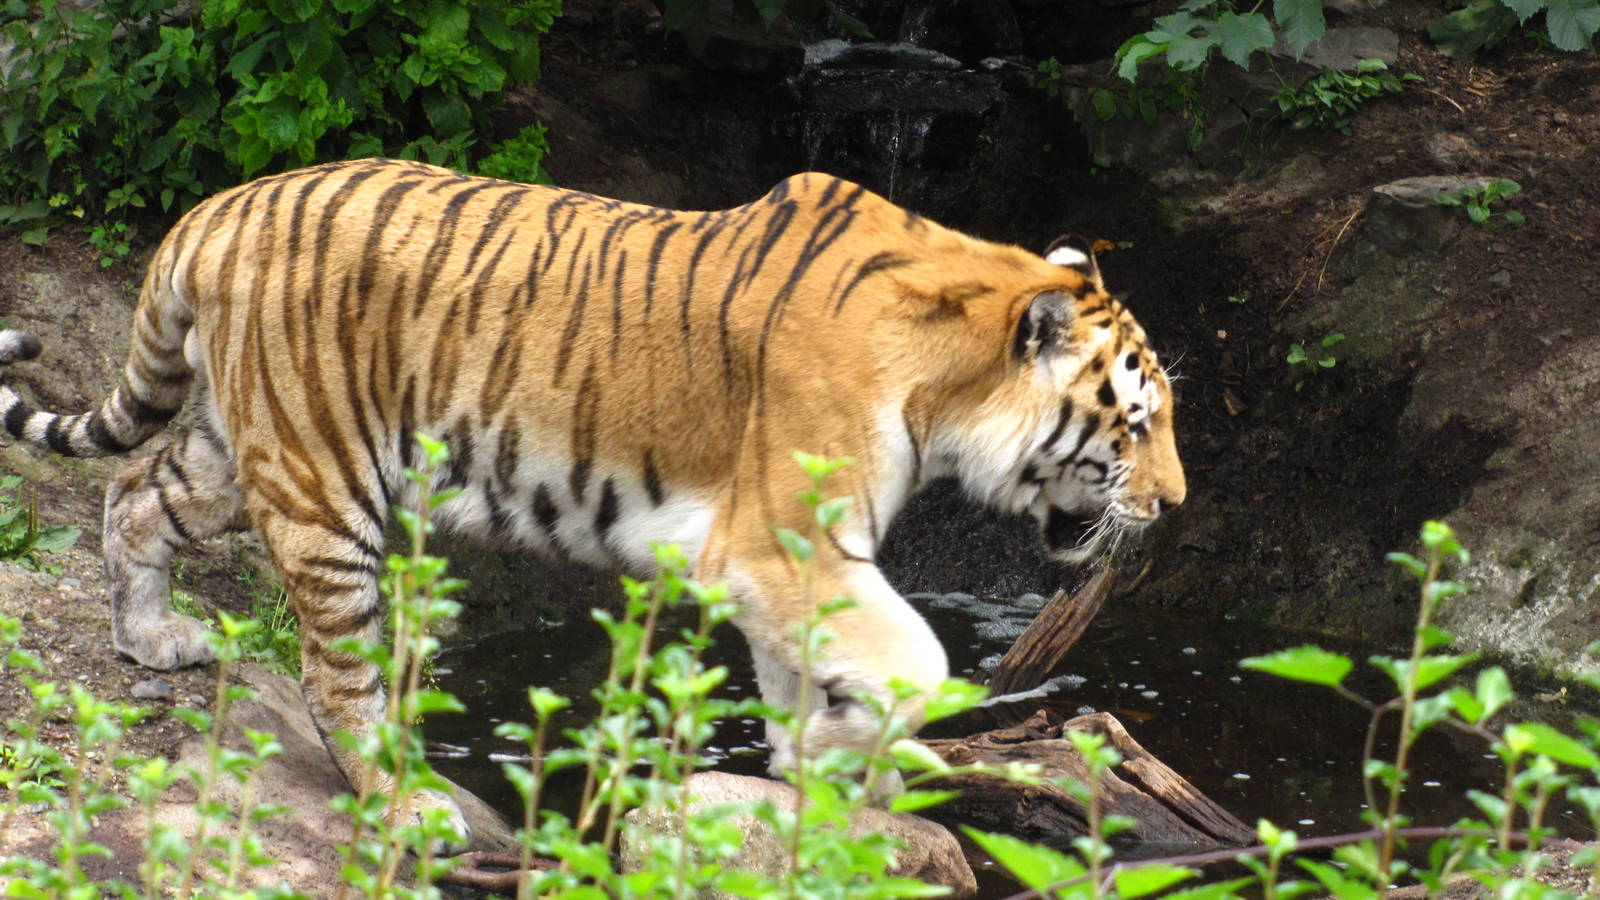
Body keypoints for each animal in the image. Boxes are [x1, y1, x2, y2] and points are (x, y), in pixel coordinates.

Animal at [0, 158, 1184, 840]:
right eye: (1134, 423)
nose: (1172, 505)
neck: (943, 380)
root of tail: (214, 208)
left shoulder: (782, 563)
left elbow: (799, 675)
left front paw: (819, 774)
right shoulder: (782, 540)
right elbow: (916, 658)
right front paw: (855, 755)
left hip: (242, 446)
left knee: (133, 493)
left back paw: (151, 637)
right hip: (321, 479)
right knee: (338, 675)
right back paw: (406, 800)